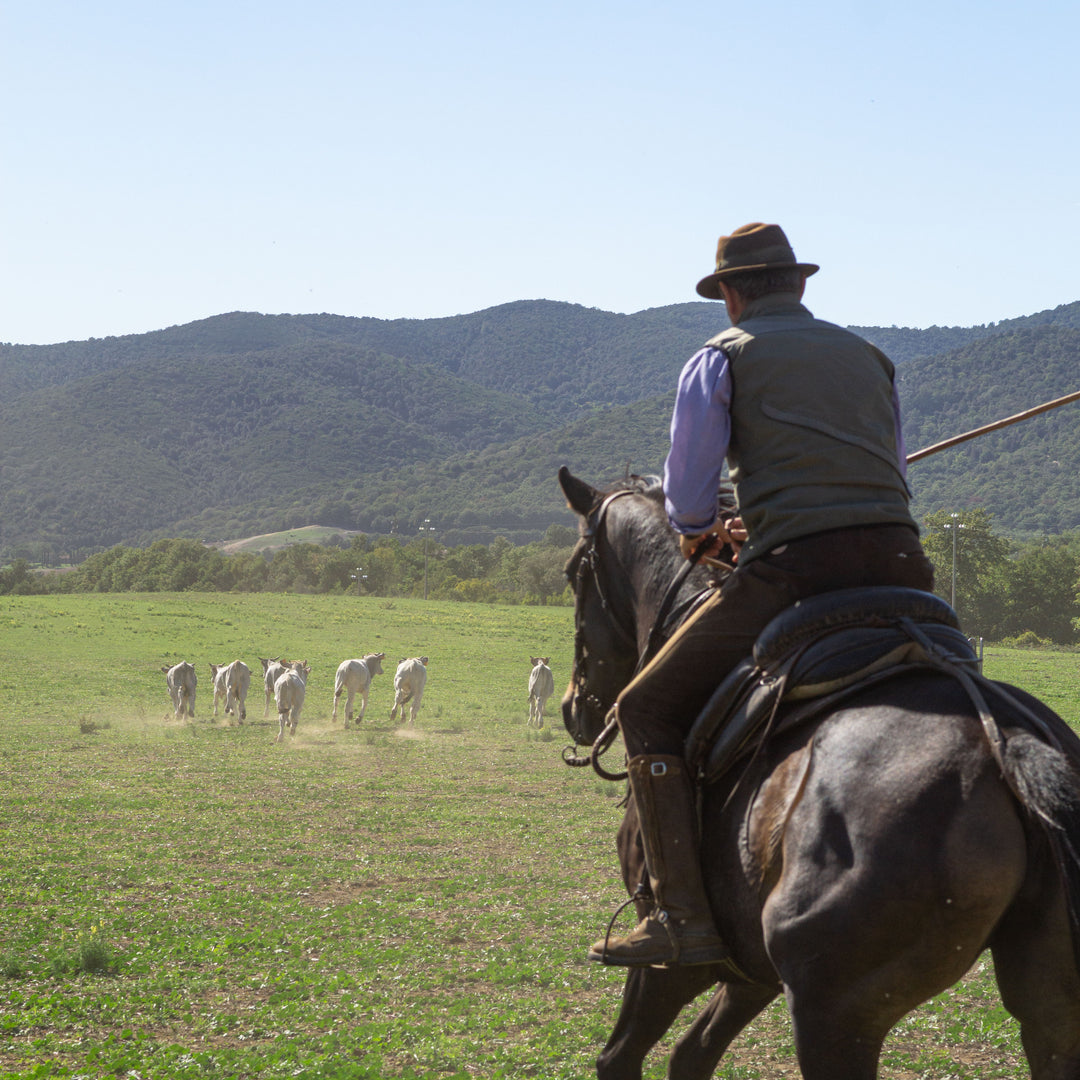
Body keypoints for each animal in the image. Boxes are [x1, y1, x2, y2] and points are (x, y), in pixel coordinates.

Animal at [561, 468, 1080, 1080]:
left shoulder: (676, 960)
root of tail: (1006, 740)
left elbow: (620, 1055)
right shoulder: (750, 969)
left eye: (574, 572)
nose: (572, 707)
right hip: (1051, 1009)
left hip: (832, 1012)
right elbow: (693, 1054)